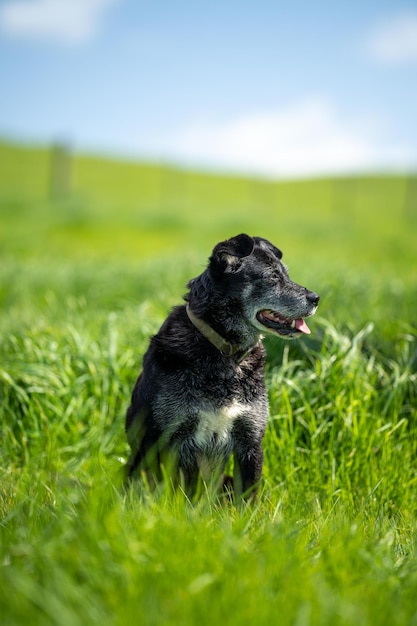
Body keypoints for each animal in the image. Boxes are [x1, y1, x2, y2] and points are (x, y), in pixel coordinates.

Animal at [125, 234, 316, 498]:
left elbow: (248, 497)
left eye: (286, 275)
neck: (227, 357)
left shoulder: (250, 440)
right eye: (272, 277)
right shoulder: (173, 441)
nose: (316, 298)